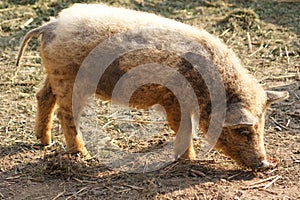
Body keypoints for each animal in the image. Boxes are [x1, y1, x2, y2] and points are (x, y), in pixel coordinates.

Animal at [16, 3, 288, 169]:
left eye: (262, 126)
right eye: (243, 131)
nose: (266, 164)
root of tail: (51, 25)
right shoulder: (174, 99)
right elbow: (183, 127)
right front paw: (189, 160)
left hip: (54, 73)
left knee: (43, 97)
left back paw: (44, 142)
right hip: (70, 78)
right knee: (66, 113)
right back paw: (83, 155)